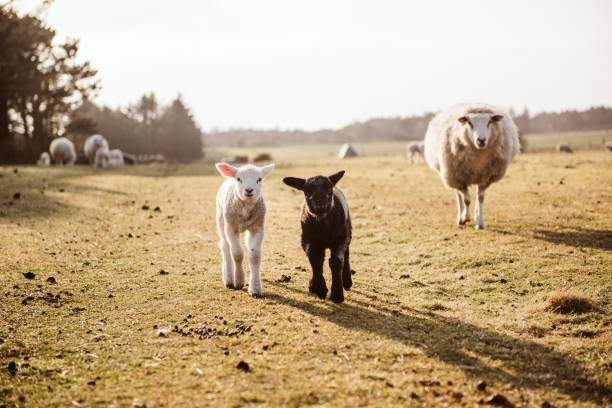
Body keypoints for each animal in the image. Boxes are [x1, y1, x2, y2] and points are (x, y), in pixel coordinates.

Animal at [214, 162, 274, 296]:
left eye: (259, 179)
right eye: (238, 179)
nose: (249, 190)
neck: (245, 208)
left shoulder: (258, 227)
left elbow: (254, 256)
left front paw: (255, 288)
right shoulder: (231, 227)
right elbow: (237, 254)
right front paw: (239, 280)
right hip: (221, 220)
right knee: (225, 247)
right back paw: (229, 279)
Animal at [282, 170, 354, 302]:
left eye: (329, 189)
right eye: (307, 191)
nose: (320, 206)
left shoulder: (340, 239)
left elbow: (336, 261)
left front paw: (337, 294)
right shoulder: (307, 240)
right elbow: (315, 259)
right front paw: (320, 289)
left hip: (347, 232)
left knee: (346, 255)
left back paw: (347, 281)